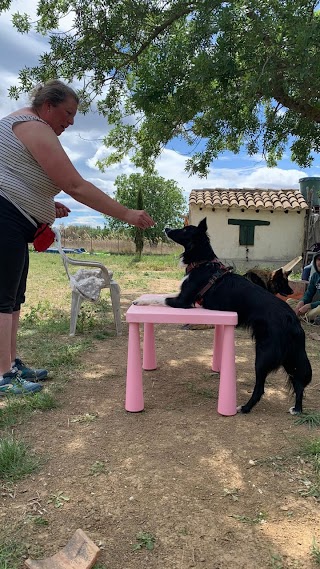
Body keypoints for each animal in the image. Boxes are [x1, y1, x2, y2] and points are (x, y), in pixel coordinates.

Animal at [134, 217, 312, 412]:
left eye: (185, 230)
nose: (166, 228)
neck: (202, 263)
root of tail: (292, 318)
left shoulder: (182, 301)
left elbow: (158, 297)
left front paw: (138, 301)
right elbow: (160, 294)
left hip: (264, 353)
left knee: (261, 388)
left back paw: (245, 408)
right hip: (289, 355)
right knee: (298, 382)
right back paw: (297, 408)